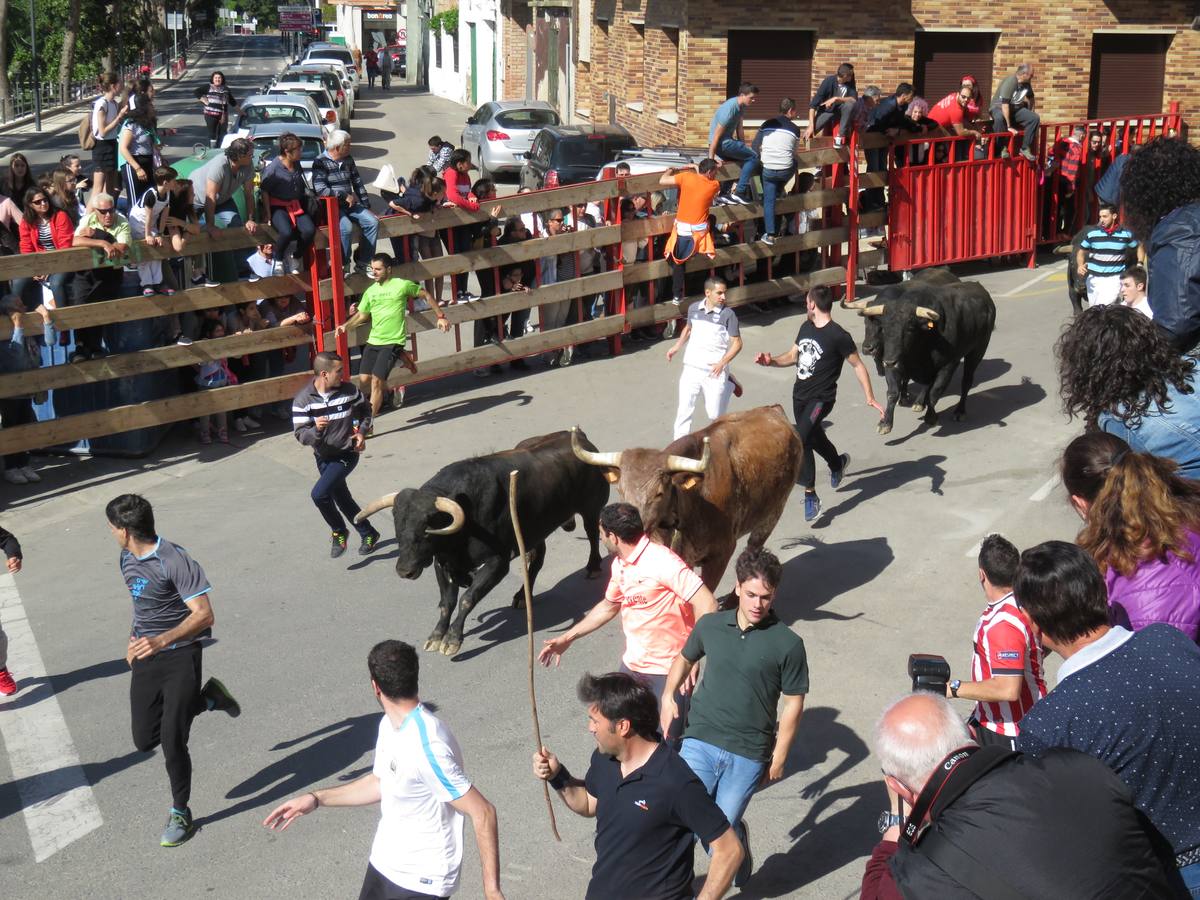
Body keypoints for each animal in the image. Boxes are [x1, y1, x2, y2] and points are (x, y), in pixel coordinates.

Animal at [350, 429, 604, 657]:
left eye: (427, 528)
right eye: (397, 523)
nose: (405, 570)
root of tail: (579, 438)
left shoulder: (498, 562)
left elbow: (467, 598)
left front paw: (452, 639)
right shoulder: (443, 563)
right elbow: (447, 602)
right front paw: (436, 636)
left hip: (590, 508)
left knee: (592, 535)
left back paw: (592, 567)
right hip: (535, 530)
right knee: (537, 558)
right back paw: (522, 596)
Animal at [573, 403, 806, 588]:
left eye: (659, 493)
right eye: (621, 491)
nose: (618, 534)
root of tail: (773, 410)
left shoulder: (721, 554)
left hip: (772, 513)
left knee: (753, 550)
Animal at [854, 280, 1003, 439]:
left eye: (910, 328)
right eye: (884, 328)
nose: (888, 361)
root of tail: (978, 287)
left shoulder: (948, 365)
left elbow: (935, 391)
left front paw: (930, 417)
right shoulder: (896, 364)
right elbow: (893, 392)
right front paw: (885, 423)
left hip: (978, 350)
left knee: (966, 382)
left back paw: (959, 411)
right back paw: (920, 402)